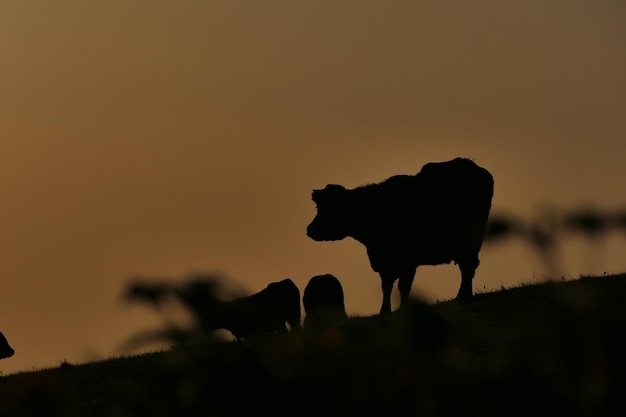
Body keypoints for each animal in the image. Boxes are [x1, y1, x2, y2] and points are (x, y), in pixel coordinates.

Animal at [308, 158, 492, 312]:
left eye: (325, 208)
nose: (309, 229)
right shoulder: (385, 261)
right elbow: (386, 286)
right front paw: (385, 310)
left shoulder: (408, 261)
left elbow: (403, 287)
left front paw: (403, 308)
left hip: (469, 242)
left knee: (467, 267)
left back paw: (463, 295)